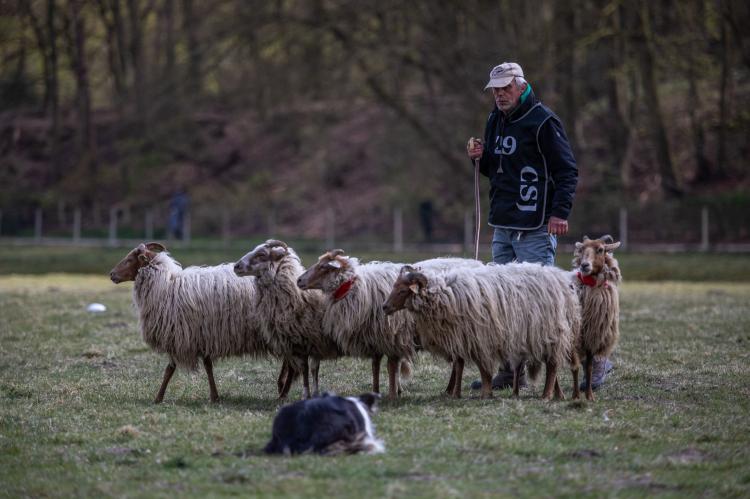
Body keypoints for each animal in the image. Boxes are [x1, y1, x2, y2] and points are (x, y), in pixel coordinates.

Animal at [111, 244, 274, 404]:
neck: (167, 285)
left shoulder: (183, 336)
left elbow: (170, 369)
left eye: (129, 259)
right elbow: (207, 366)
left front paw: (158, 398)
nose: (112, 274)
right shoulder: (202, 336)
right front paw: (215, 397)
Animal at [235, 240, 340, 400]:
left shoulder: (306, 341)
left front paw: (305, 394)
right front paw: (312, 394)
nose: (236, 266)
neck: (298, 297)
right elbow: (311, 369)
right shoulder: (308, 343)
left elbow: (305, 369)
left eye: (261, 254)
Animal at [384, 264, 580, 400]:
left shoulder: (481, 339)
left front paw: (485, 393)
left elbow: (483, 368)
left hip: (550, 332)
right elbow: (461, 365)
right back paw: (556, 394)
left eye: (403, 290)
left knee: (553, 365)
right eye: (393, 286)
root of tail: (563, 282)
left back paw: (546, 395)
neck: (444, 294)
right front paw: (460, 393)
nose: (384, 307)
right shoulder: (463, 337)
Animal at [572, 235, 624, 402]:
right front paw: (577, 394)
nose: (584, 265)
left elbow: (590, 366)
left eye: (600, 249)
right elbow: (577, 365)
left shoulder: (593, 335)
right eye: (582, 249)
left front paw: (590, 392)